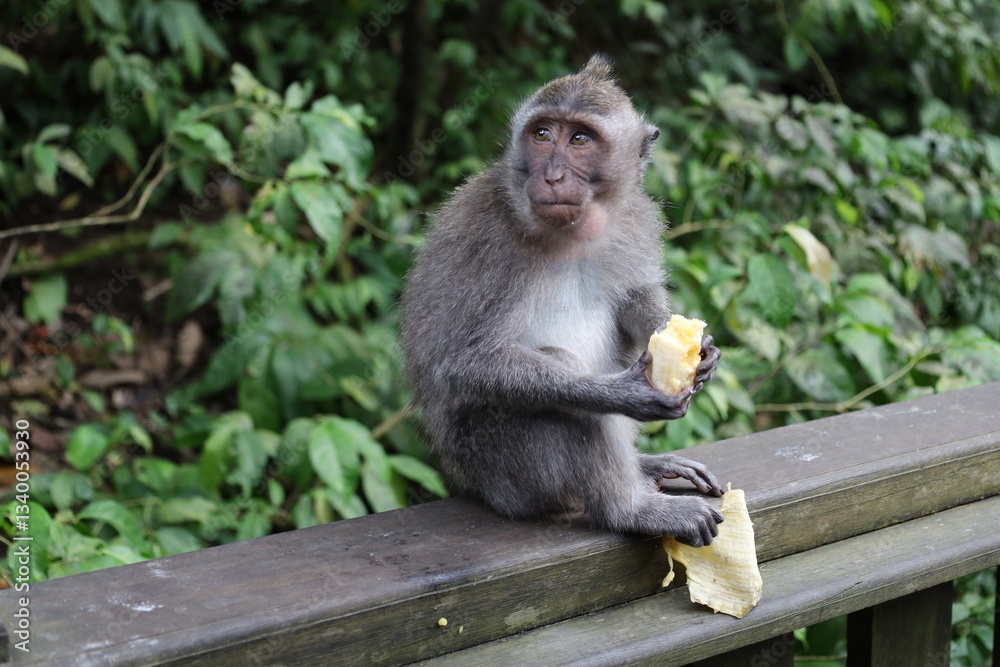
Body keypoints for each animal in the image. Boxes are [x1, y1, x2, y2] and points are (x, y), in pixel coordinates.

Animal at [400, 54, 724, 547]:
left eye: (580, 139)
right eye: (542, 134)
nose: (552, 175)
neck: (573, 233)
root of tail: (474, 485)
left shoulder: (635, 220)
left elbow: (635, 299)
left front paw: (700, 352)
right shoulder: (491, 246)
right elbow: (467, 363)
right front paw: (624, 393)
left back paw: (645, 467)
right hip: (503, 469)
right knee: (569, 402)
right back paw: (631, 508)